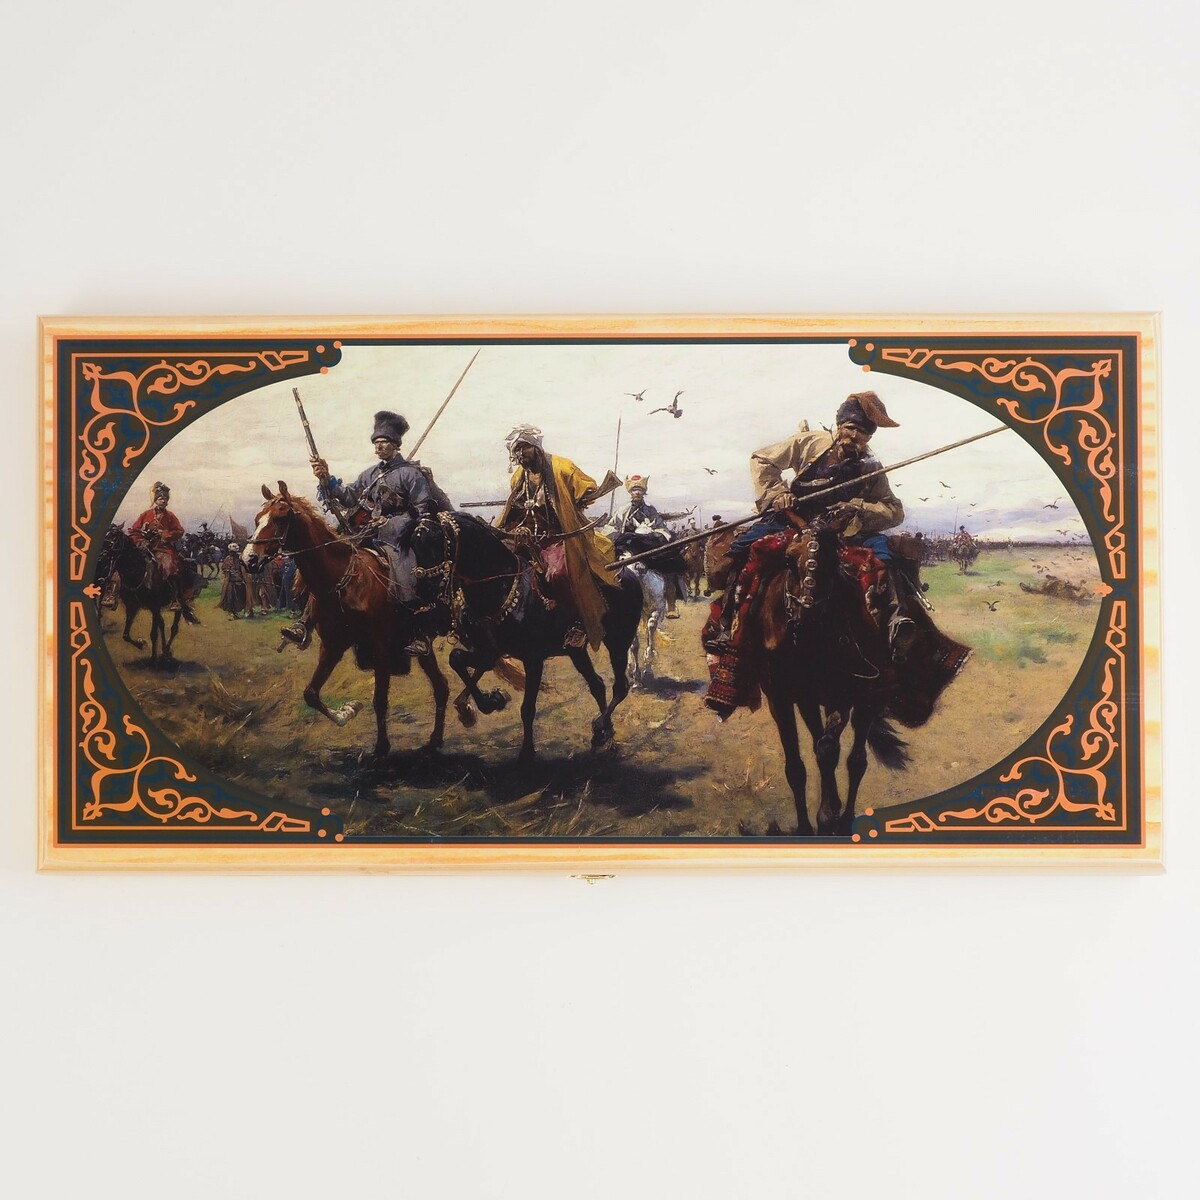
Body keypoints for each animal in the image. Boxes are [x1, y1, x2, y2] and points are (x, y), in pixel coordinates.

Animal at [95, 524, 194, 665]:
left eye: (113, 538)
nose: (100, 557)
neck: (138, 572)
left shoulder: (155, 607)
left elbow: (153, 633)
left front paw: (153, 658)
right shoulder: (132, 606)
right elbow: (125, 635)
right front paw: (141, 644)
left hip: (178, 603)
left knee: (174, 628)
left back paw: (166, 652)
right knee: (162, 624)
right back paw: (164, 651)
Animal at [244, 483, 449, 760]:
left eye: (281, 518)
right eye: (257, 519)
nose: (249, 559)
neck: (342, 578)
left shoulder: (381, 647)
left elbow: (380, 699)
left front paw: (381, 747)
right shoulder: (332, 645)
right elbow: (311, 694)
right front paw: (347, 711)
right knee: (441, 686)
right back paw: (434, 741)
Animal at [411, 512, 643, 765]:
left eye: (436, 542)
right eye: (413, 544)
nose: (420, 593)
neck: (499, 586)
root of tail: (627, 573)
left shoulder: (533, 659)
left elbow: (528, 708)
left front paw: (526, 752)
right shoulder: (488, 652)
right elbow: (456, 659)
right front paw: (489, 702)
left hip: (618, 643)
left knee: (620, 686)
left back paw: (601, 729)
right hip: (576, 650)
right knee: (597, 685)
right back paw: (606, 738)